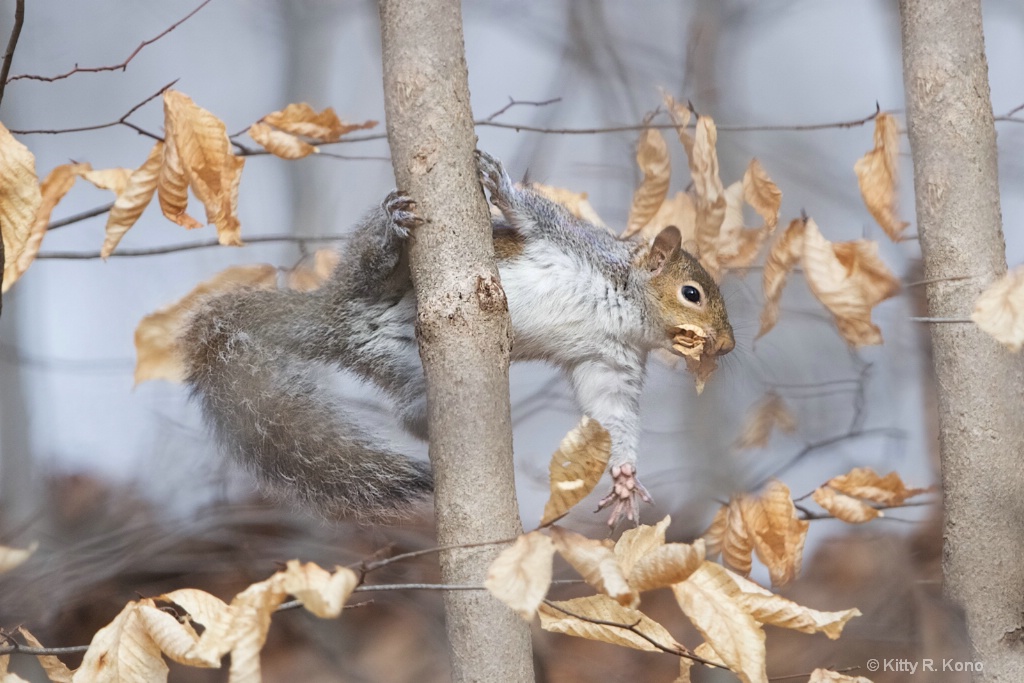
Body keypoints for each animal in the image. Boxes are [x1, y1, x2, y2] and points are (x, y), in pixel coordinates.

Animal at [180, 152, 733, 528]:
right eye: (692, 293)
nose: (726, 346)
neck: (624, 312)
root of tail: (336, 315)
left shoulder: (611, 363)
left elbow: (612, 413)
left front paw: (624, 479)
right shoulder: (574, 243)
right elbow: (534, 214)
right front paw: (500, 182)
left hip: (401, 362)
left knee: (407, 412)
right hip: (369, 277)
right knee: (369, 266)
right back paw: (390, 230)